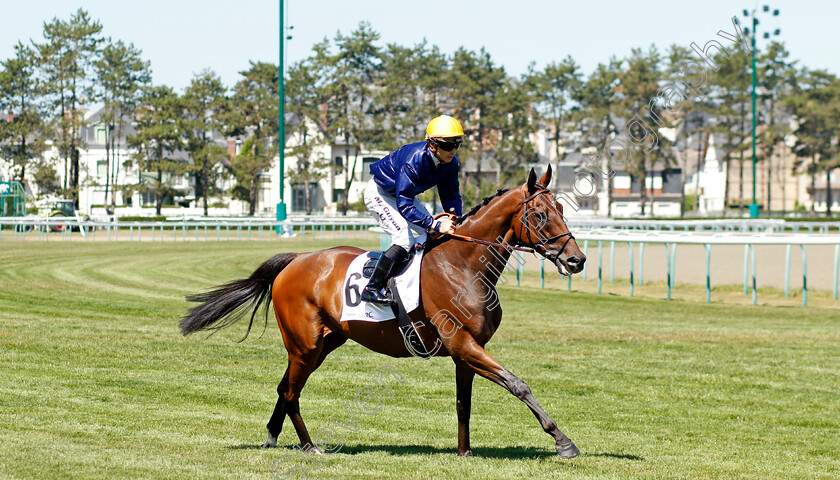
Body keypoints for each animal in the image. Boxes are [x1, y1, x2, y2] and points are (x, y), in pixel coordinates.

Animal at [177, 167, 584, 460]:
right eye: (541, 214)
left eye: (562, 210)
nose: (576, 260)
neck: (464, 266)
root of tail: (294, 261)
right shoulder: (463, 344)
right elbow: (518, 384)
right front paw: (563, 441)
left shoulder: (465, 351)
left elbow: (463, 404)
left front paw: (464, 452)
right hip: (305, 344)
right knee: (291, 391)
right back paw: (310, 446)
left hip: (324, 343)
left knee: (285, 387)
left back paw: (272, 437)